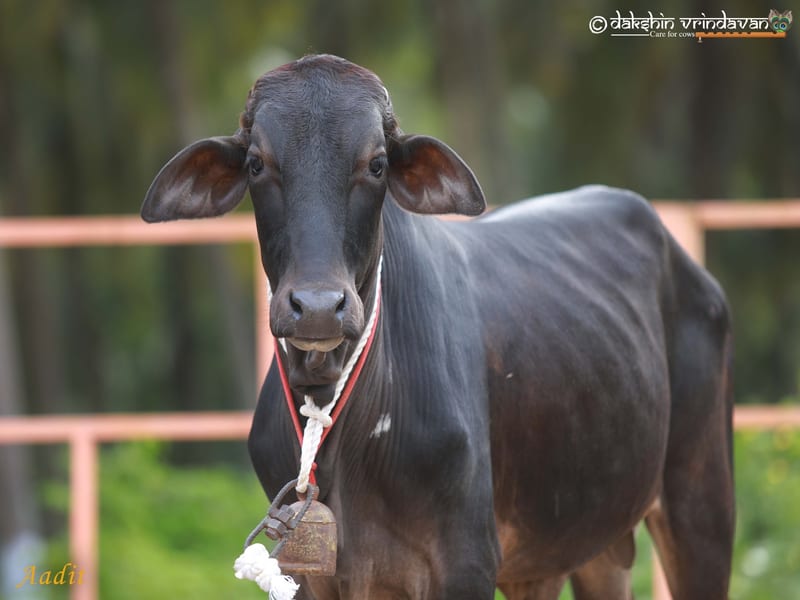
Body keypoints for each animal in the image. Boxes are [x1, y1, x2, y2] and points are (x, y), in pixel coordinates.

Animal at [141, 54, 734, 599]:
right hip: (580, 549)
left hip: (702, 508)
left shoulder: (465, 562)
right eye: (256, 164)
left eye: (377, 164)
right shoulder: (314, 579)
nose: (317, 306)